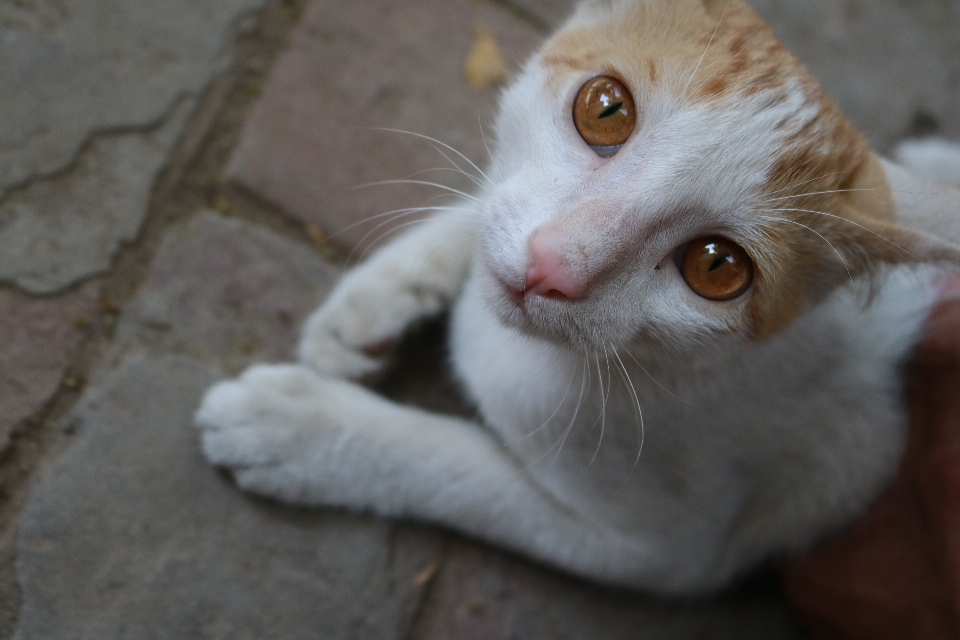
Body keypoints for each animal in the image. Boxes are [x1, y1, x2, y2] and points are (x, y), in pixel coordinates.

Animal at [193, 0, 960, 596]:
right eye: (606, 109)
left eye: (717, 268)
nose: (553, 265)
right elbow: (487, 210)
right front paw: (371, 304)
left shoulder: (670, 550)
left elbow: (459, 473)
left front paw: (300, 427)